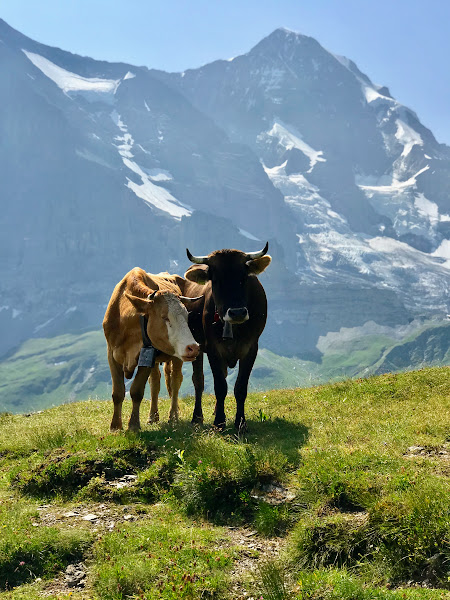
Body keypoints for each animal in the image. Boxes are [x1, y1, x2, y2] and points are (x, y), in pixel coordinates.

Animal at [103, 268, 202, 432]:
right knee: (155, 381)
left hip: (176, 357)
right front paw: (115, 426)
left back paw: (173, 416)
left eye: (187, 316)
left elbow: (136, 391)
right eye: (165, 317)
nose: (193, 347)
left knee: (175, 380)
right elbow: (117, 392)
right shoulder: (112, 354)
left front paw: (133, 425)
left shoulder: (148, 356)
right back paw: (153, 417)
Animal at [184, 241, 270, 428]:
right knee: (198, 381)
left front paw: (240, 423)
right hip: (196, 346)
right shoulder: (213, 349)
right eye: (216, 281)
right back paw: (197, 417)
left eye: (244, 278)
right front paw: (219, 422)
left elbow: (240, 387)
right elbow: (220, 386)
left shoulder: (251, 348)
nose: (237, 312)